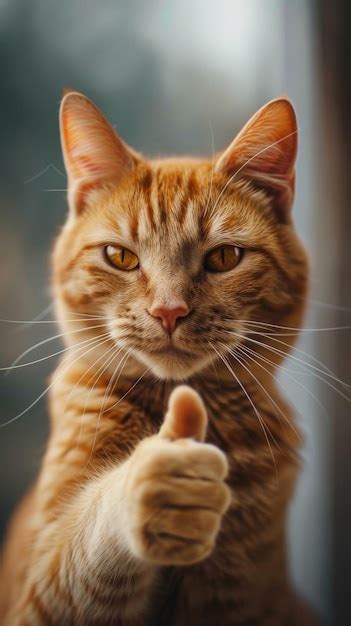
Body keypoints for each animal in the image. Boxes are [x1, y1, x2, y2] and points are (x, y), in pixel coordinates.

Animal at [0, 90, 320, 620]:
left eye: (224, 258)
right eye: (121, 257)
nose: (169, 311)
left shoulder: (239, 596)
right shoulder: (38, 592)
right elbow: (82, 550)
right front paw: (156, 484)